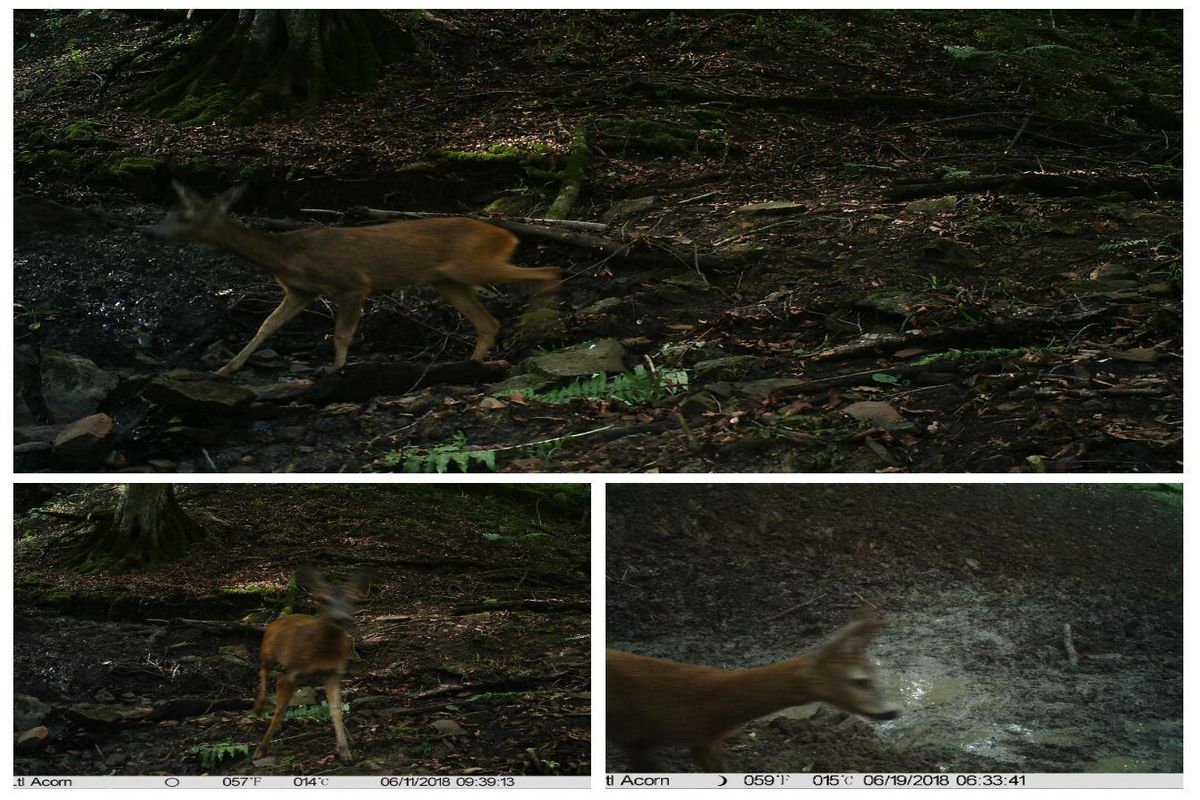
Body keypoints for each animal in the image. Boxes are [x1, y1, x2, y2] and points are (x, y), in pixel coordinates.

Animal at [151, 183, 561, 376]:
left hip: (474, 265)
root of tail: (507, 235)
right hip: (447, 281)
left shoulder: (350, 283)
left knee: (549, 270)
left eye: (185, 217)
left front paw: (337, 369)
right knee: (488, 322)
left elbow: (341, 333)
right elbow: (265, 326)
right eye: (170, 213)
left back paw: (543, 321)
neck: (286, 255)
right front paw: (227, 367)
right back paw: (473, 363)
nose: (153, 232)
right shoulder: (299, 291)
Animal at [259, 566, 372, 762]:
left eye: (352, 600)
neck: (321, 653)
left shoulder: (334, 672)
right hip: (267, 651)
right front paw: (261, 749)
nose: (341, 618)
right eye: (323, 599)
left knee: (277, 680)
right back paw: (260, 706)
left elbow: (336, 710)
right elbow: (280, 708)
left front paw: (345, 752)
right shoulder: (295, 669)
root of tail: (279, 619)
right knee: (264, 671)